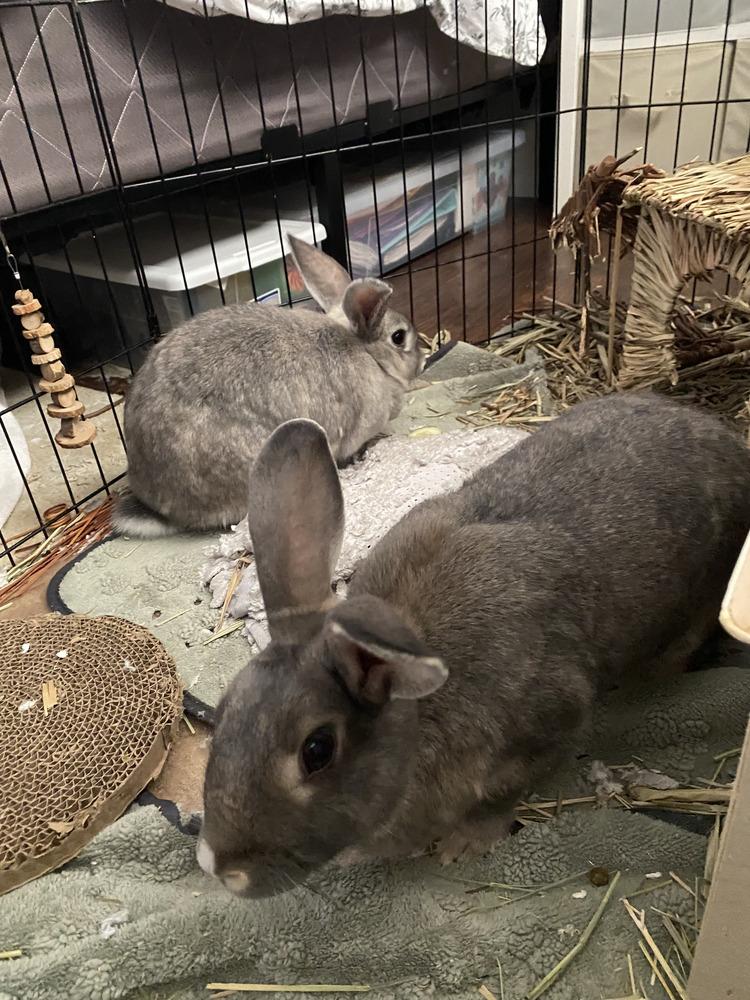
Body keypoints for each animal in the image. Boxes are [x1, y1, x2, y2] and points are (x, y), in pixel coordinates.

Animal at [197, 393, 750, 898]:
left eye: (317, 750)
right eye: (223, 713)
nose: (221, 869)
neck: (415, 706)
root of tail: (731, 446)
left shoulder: (545, 726)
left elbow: (503, 793)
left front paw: (463, 845)